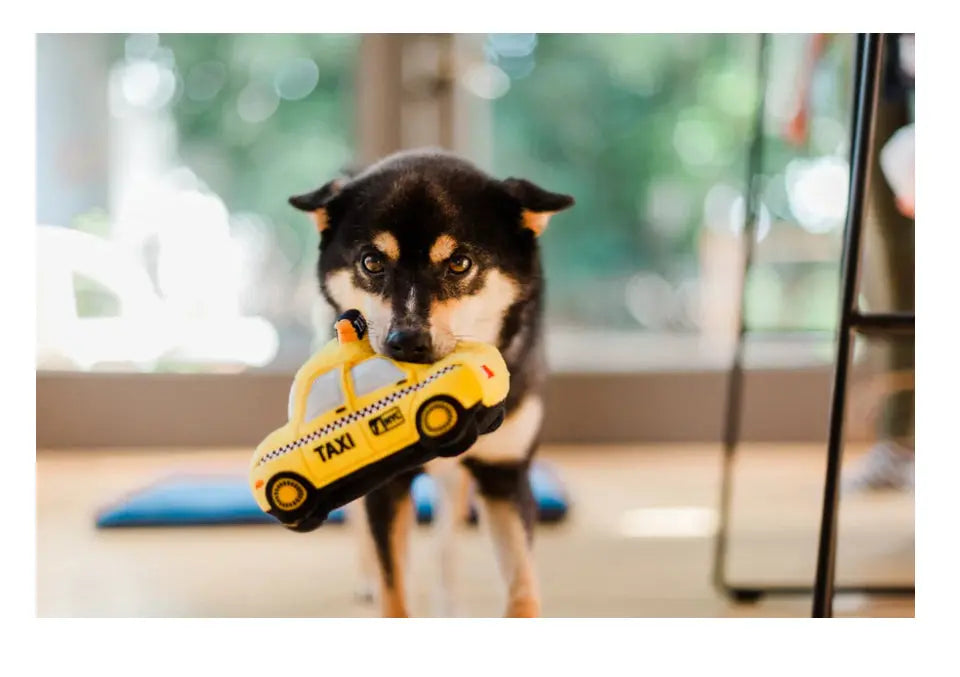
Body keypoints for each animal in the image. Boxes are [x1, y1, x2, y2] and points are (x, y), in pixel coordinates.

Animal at [288, 149, 572, 616]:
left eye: (459, 263)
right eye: (372, 262)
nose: (407, 340)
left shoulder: (504, 474)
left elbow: (523, 586)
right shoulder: (386, 485)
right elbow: (394, 587)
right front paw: (382, 585)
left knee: (446, 538)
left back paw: (448, 601)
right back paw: (367, 579)